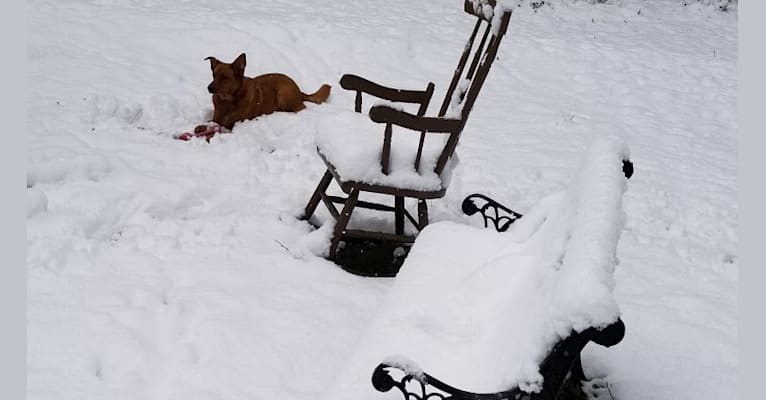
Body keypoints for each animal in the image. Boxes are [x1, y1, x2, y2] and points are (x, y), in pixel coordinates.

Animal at [201, 53, 330, 130]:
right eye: (214, 75)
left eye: (225, 77)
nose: (209, 88)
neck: (228, 101)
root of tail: (299, 90)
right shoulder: (215, 119)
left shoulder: (233, 124)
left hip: (284, 93)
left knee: (301, 108)